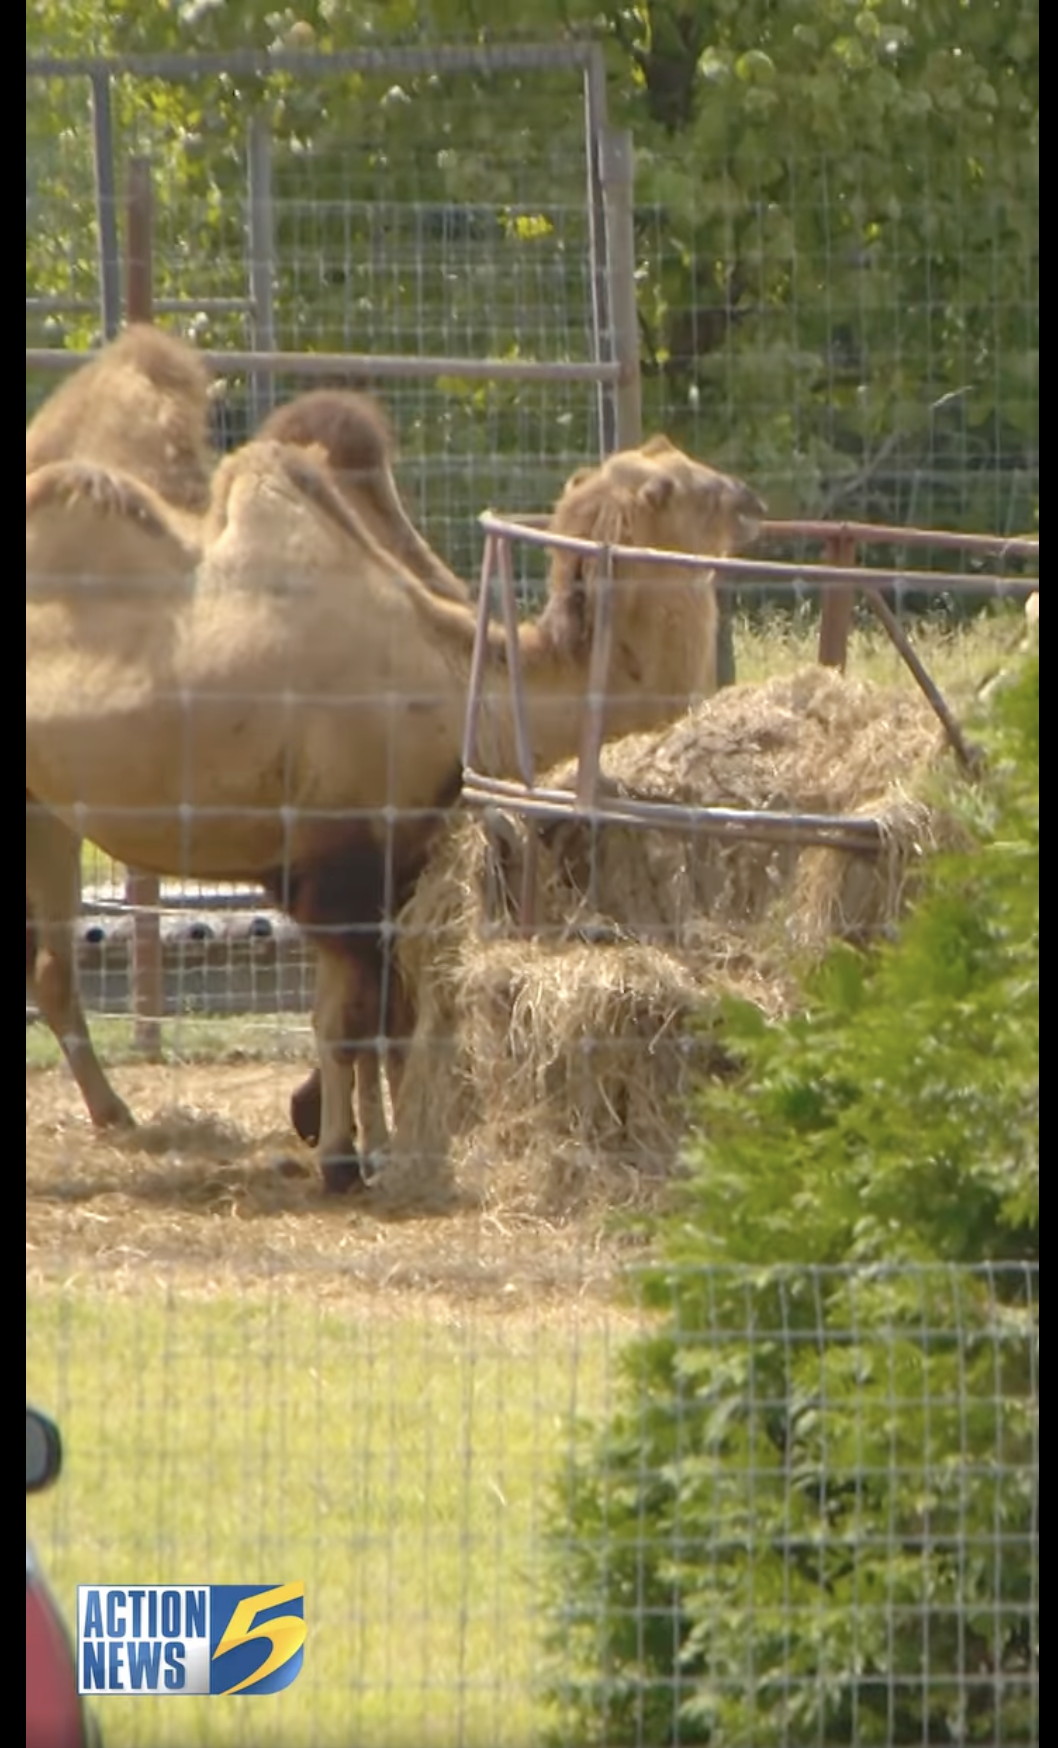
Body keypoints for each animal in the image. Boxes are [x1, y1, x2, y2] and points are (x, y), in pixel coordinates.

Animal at [28, 430, 762, 1188]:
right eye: (689, 488)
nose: (751, 499)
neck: (478, 698)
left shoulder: (389, 872)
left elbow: (385, 1021)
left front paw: (375, 1144)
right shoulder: (341, 869)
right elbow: (348, 1021)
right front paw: (340, 1159)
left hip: (43, 809)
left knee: (52, 969)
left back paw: (116, 1114)